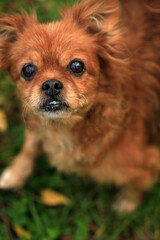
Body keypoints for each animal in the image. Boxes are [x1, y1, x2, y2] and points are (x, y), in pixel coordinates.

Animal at [0, 0, 160, 212]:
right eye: (28, 70)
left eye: (77, 66)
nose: (51, 84)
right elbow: (30, 143)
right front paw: (16, 172)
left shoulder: (149, 160)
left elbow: (138, 182)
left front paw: (129, 202)